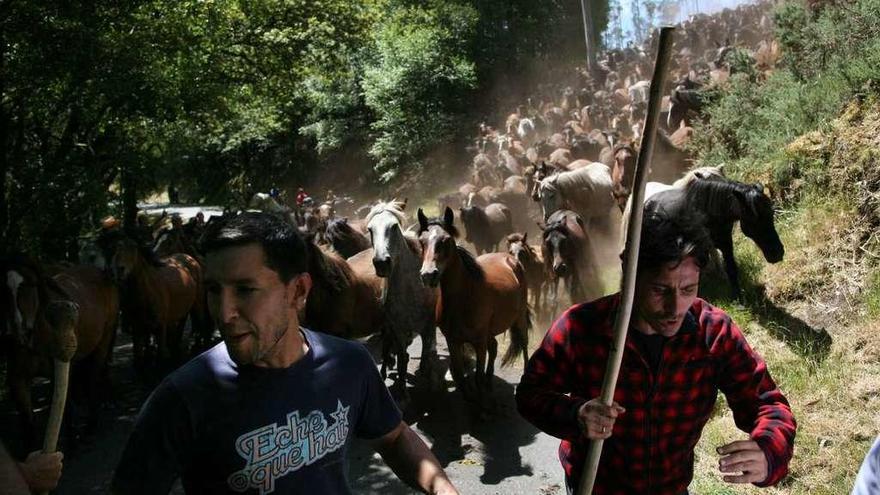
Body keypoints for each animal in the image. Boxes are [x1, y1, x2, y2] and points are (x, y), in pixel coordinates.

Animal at [2, 254, 119, 452]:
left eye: (28, 285)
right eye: (2, 291)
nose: (18, 333)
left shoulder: (60, 370)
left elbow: (64, 408)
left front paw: (71, 445)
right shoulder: (17, 380)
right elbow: (27, 421)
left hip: (103, 342)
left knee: (93, 378)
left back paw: (91, 425)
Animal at [414, 207, 524, 408]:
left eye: (446, 240)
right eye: (422, 241)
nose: (428, 275)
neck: (464, 298)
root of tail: (508, 257)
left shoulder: (479, 342)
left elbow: (477, 376)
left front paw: (483, 406)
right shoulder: (453, 341)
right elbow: (459, 376)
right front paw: (472, 398)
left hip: (519, 319)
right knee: (494, 348)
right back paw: (489, 381)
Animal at [648, 180, 784, 300]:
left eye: (771, 214)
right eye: (754, 219)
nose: (777, 253)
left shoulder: (726, 242)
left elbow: (731, 269)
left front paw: (738, 298)